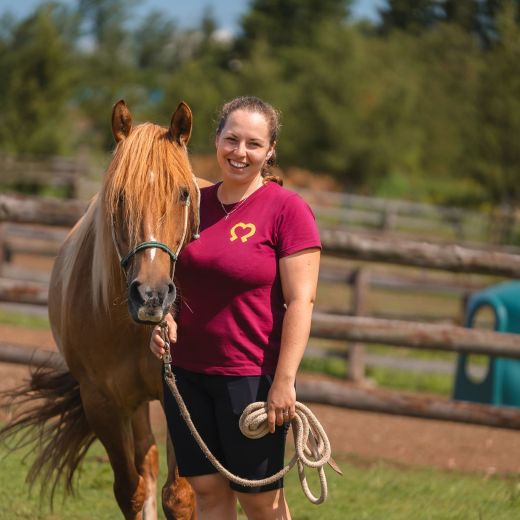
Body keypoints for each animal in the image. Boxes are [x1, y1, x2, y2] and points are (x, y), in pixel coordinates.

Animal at [2, 99, 209, 516]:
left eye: (183, 193)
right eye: (120, 196)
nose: (151, 296)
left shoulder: (181, 402)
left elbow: (180, 496)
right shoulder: (102, 404)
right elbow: (131, 490)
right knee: (147, 463)